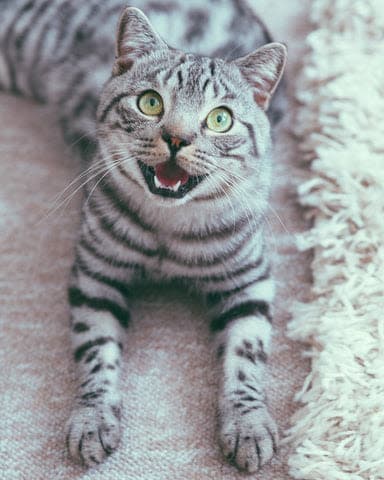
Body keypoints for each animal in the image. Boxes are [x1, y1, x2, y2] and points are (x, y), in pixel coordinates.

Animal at [0, 0, 284, 472]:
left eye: (220, 119)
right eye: (150, 103)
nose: (177, 138)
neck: (169, 229)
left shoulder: (250, 280)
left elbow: (245, 356)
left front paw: (248, 424)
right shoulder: (95, 274)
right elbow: (96, 350)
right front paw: (93, 417)